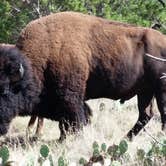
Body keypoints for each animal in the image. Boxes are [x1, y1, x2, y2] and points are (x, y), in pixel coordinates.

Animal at [0, 11, 165, 140]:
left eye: (5, 91)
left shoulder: (70, 97)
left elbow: (76, 121)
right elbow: (65, 123)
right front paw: (62, 139)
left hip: (159, 90)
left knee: (160, 114)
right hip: (145, 91)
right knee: (145, 115)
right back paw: (125, 139)